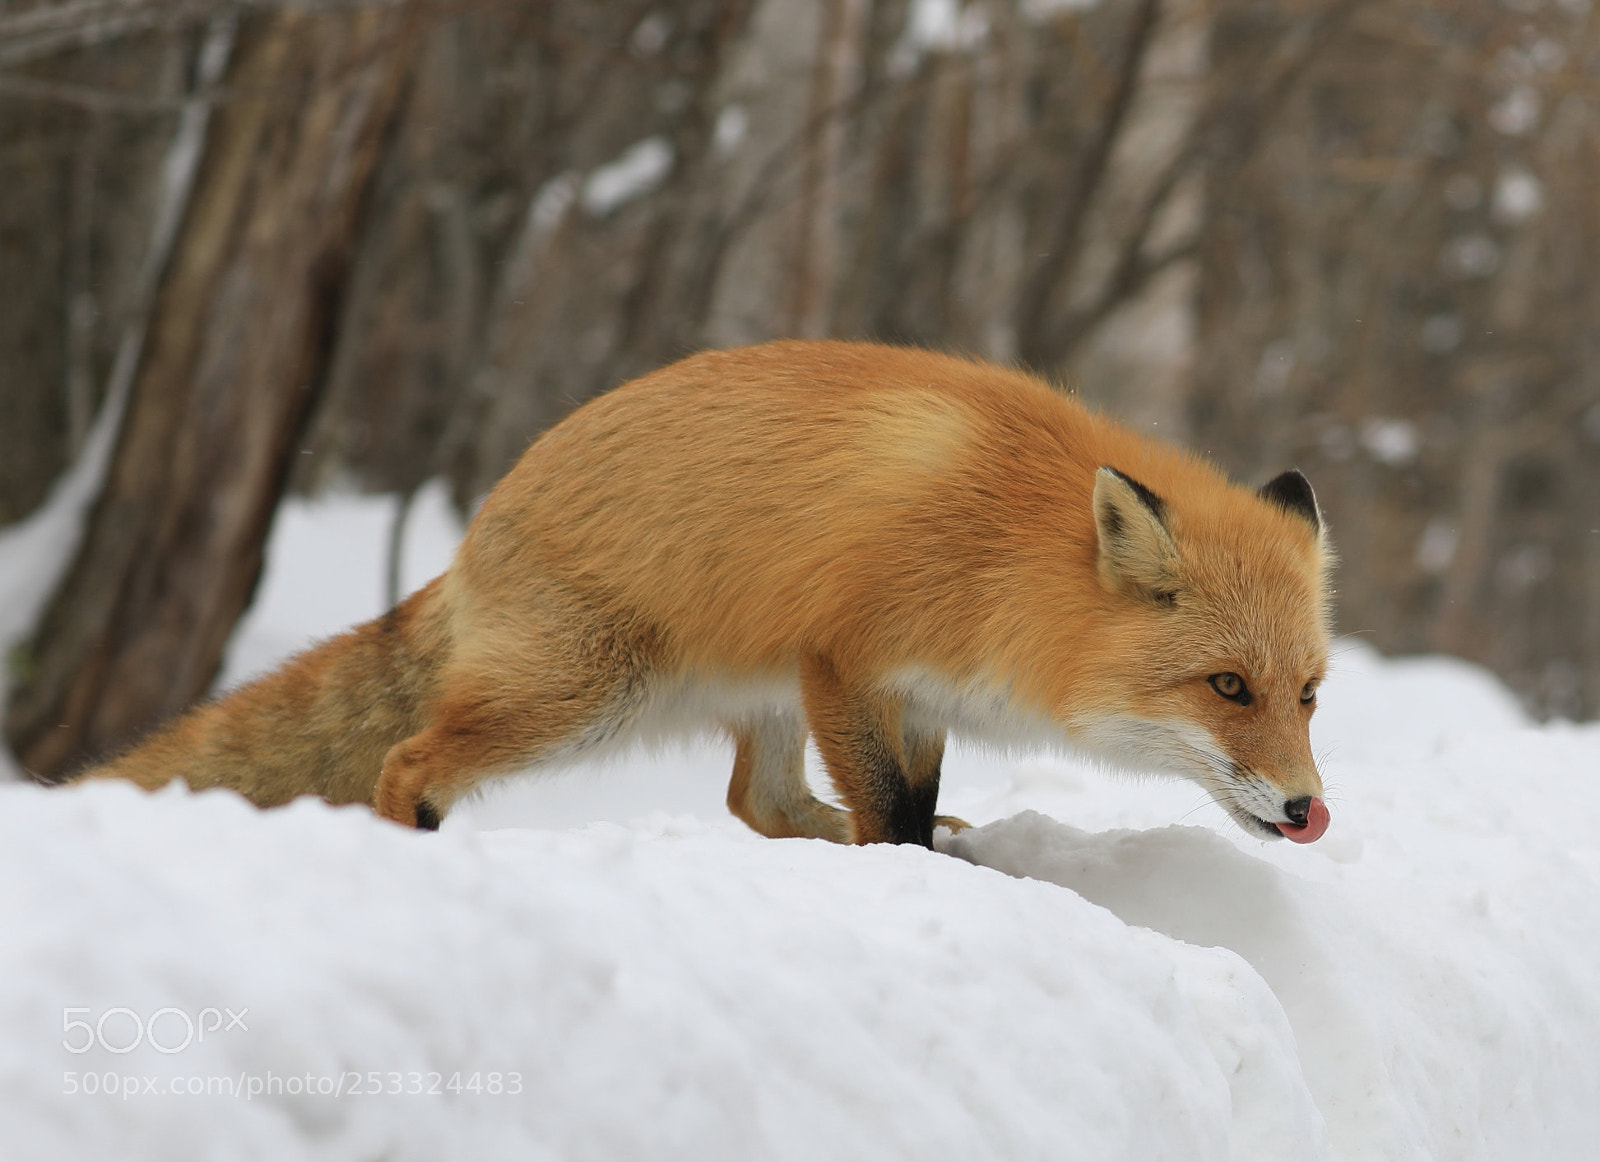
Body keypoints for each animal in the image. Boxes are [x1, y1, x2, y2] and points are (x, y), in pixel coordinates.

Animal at [77, 340, 1333, 846]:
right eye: (1227, 686)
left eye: (1308, 695)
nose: (1306, 809)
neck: (1002, 558)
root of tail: (489, 512)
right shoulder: (847, 662)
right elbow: (890, 813)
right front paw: (905, 869)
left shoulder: (916, 697)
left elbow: (911, 806)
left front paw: (936, 852)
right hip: (586, 694)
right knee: (406, 761)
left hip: (747, 696)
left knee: (757, 804)